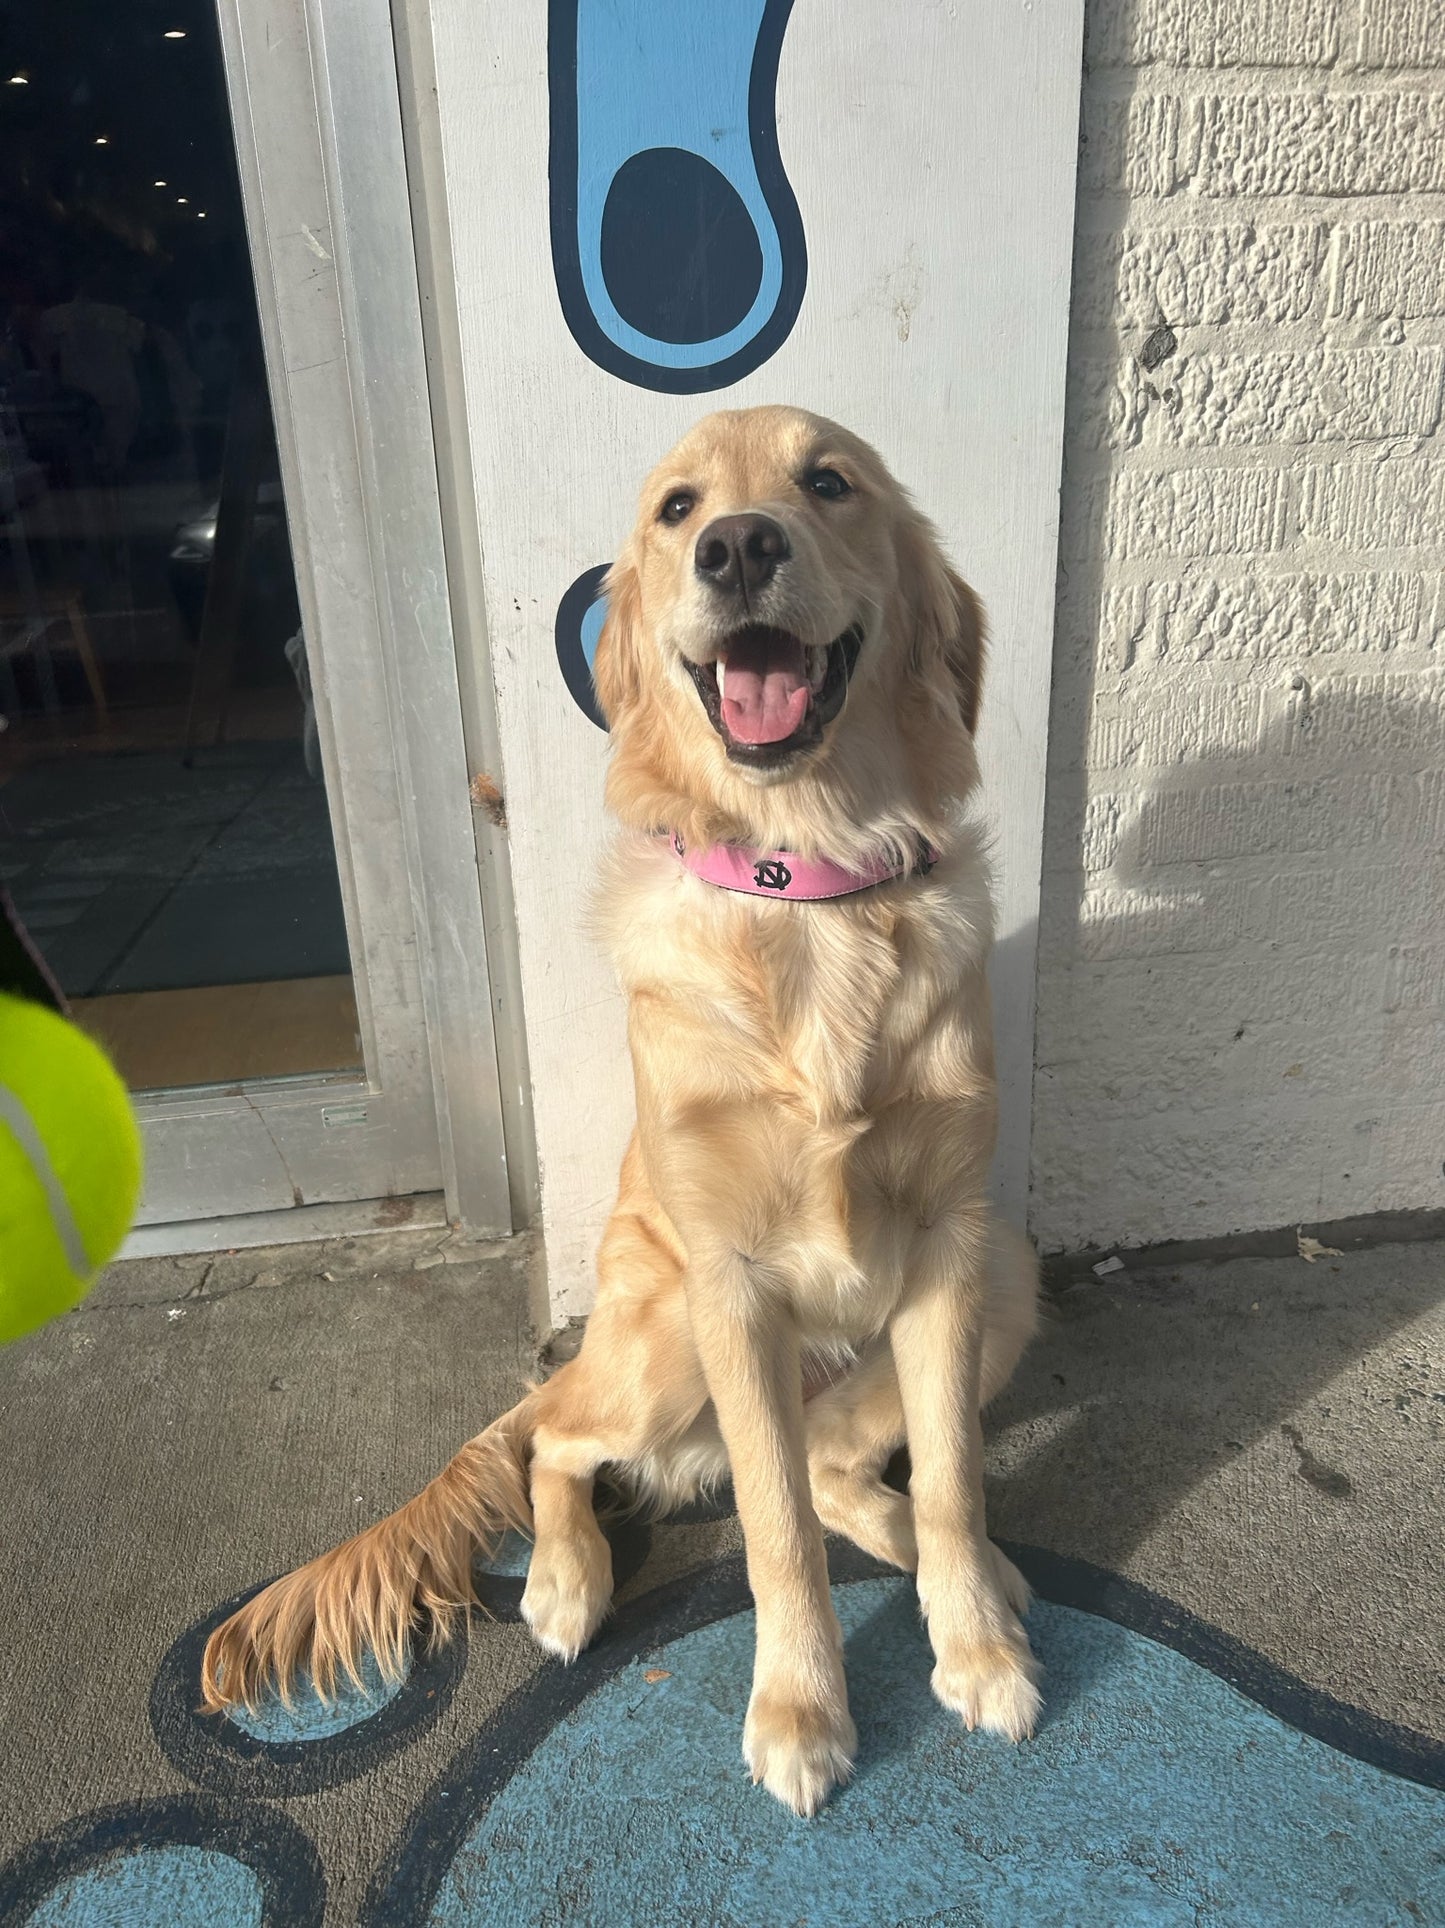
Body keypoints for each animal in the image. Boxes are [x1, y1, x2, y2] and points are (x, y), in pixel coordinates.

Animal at [199, 399, 1034, 1812]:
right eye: (676, 506)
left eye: (829, 483)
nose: (739, 545)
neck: (806, 882)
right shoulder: (732, 1282)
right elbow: (772, 1533)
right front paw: (800, 1709)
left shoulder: (954, 1241)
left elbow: (950, 1485)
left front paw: (973, 1641)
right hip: (661, 1342)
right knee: (561, 1444)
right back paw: (562, 1581)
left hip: (1009, 1275)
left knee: (841, 1468)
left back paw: (971, 1572)